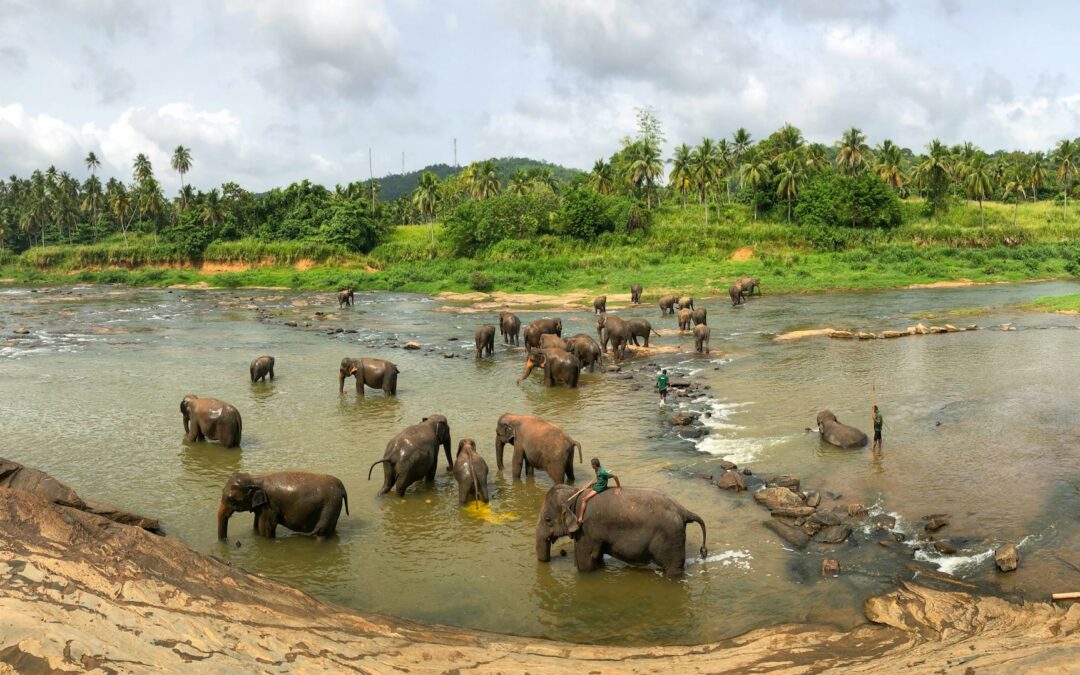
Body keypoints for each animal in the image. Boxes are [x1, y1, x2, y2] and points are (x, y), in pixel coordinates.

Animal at [216, 471, 348, 542]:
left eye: (231, 499)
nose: (227, 541)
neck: (255, 478)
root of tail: (341, 485)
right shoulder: (262, 506)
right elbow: (256, 526)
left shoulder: (270, 506)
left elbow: (266, 529)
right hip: (334, 507)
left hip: (330, 505)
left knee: (320, 533)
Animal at [535, 484, 708, 578]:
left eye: (547, 519)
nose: (560, 554)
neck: (575, 492)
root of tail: (683, 511)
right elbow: (596, 558)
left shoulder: (586, 530)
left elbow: (585, 562)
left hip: (671, 538)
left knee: (672, 568)